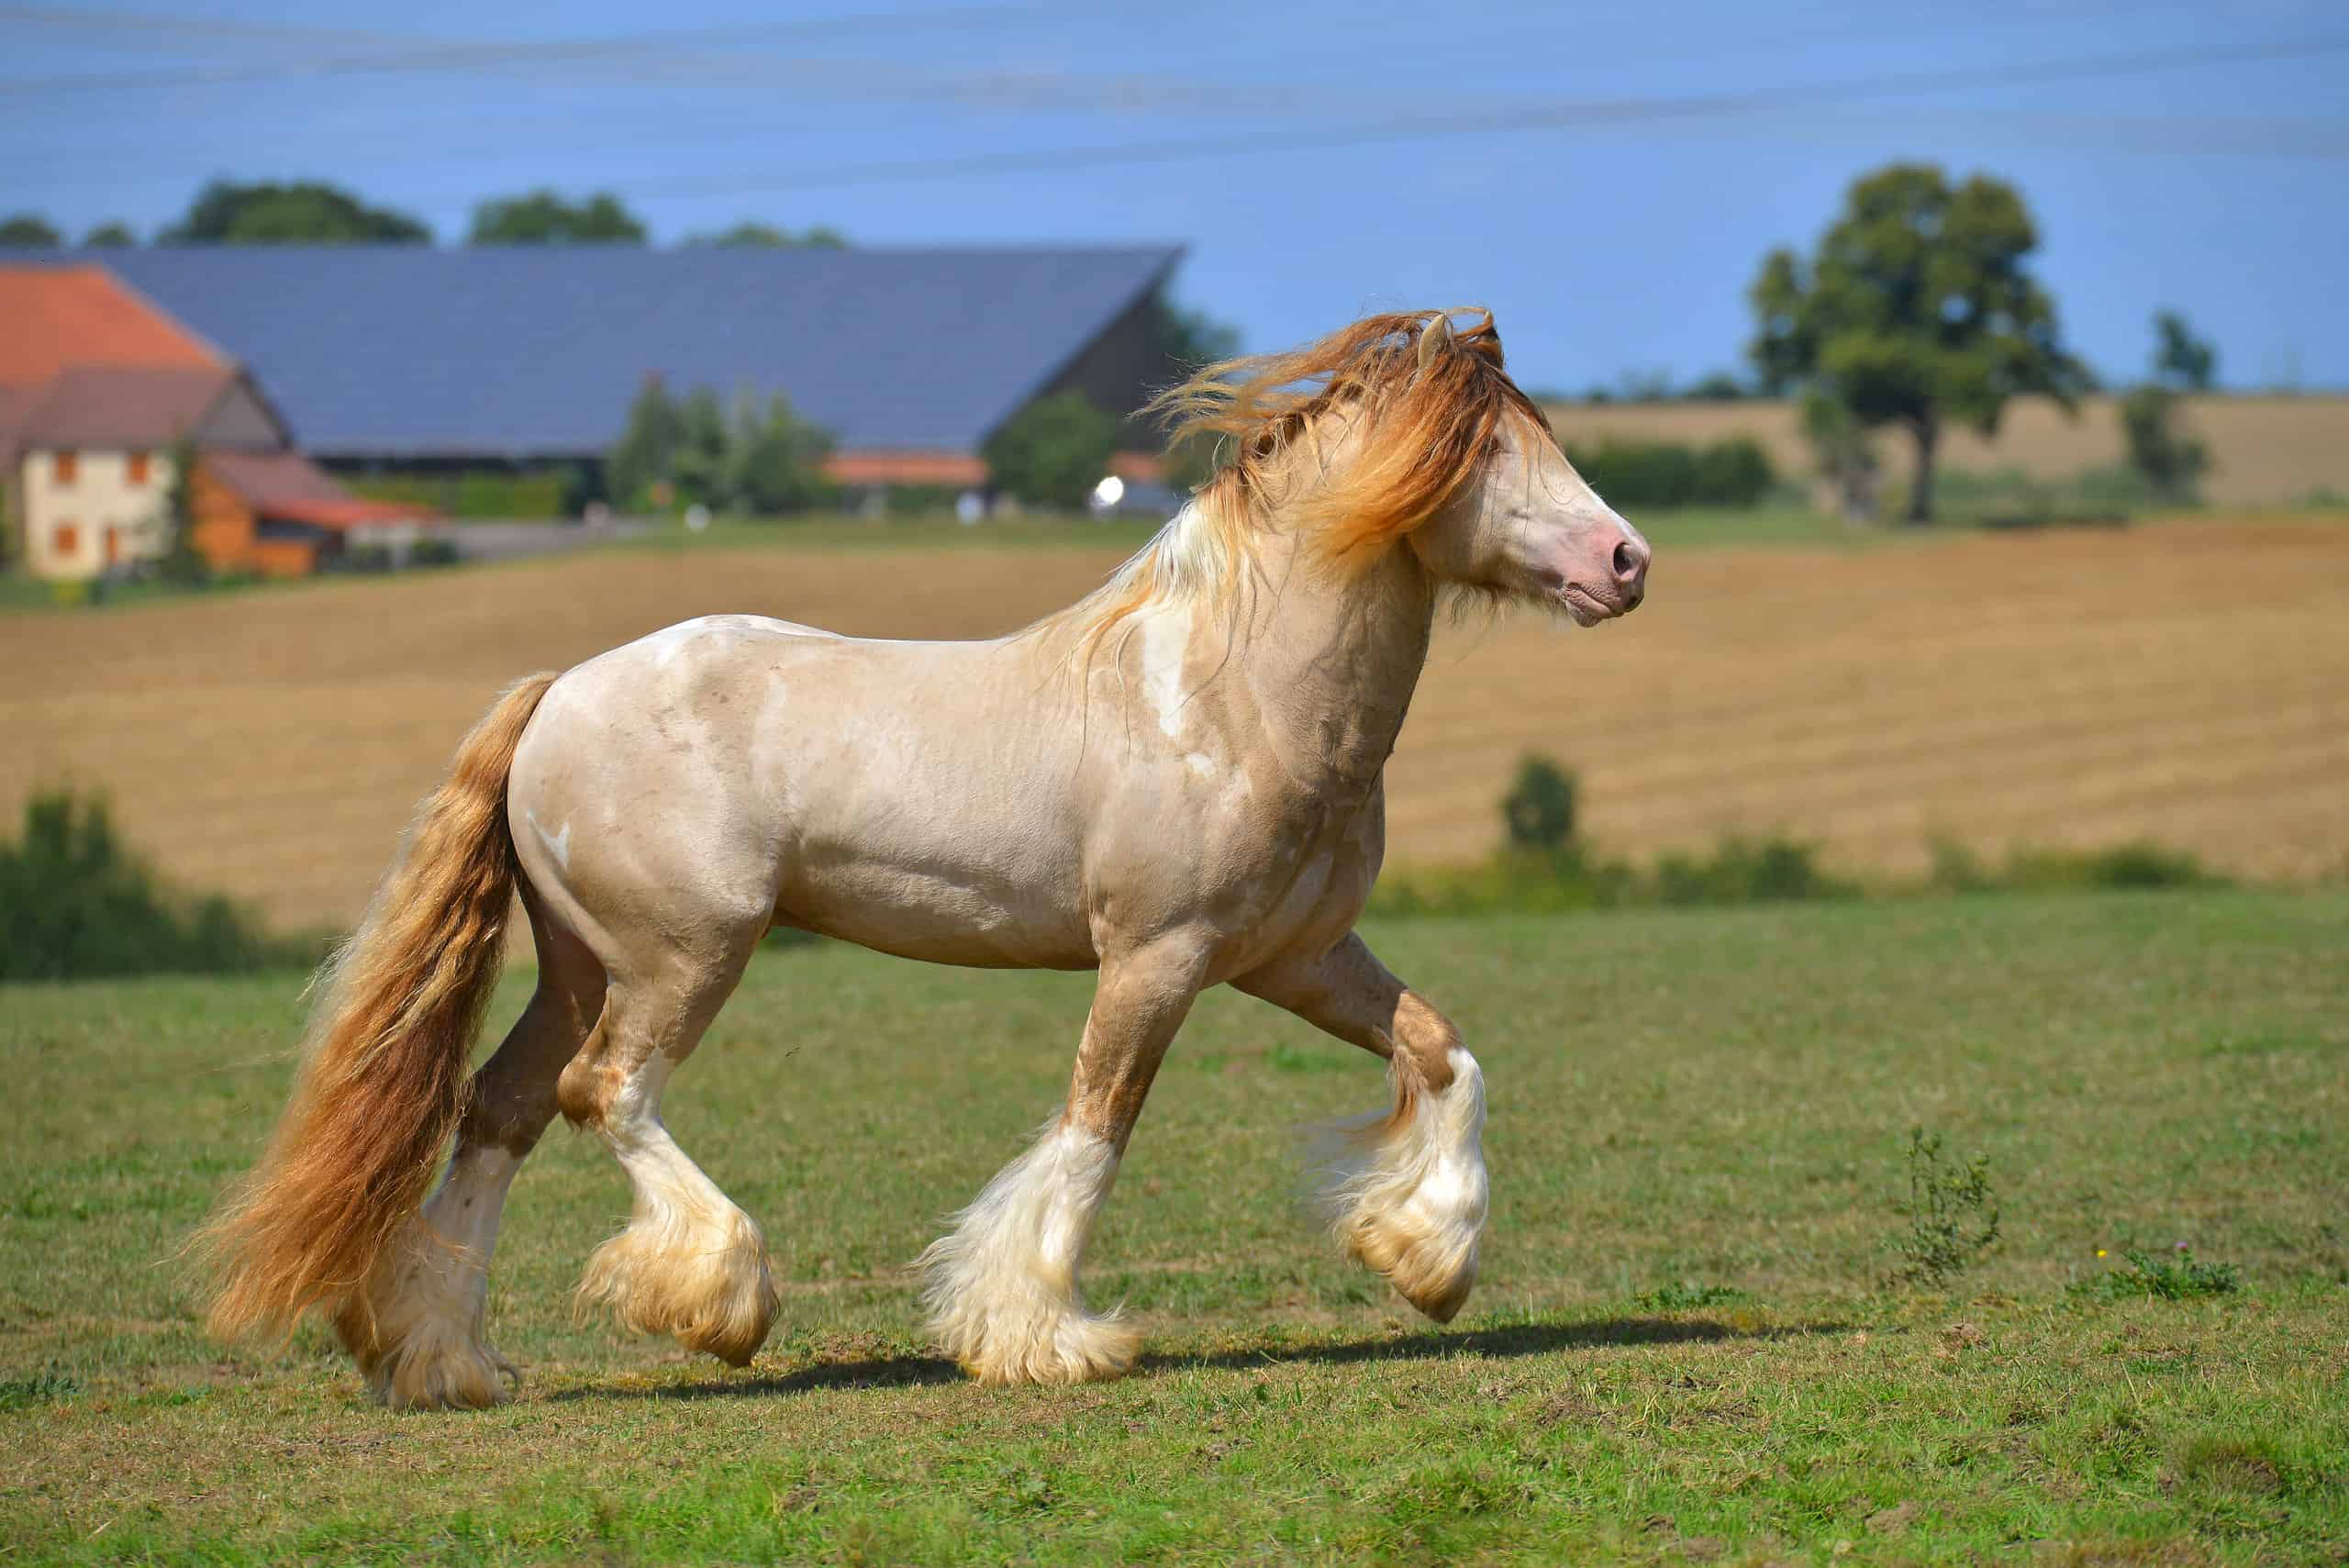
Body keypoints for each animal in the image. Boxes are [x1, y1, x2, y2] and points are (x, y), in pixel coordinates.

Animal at [197, 308, 1651, 1410]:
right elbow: (1094, 1128)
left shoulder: (1294, 955)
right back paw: (722, 1299)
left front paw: (1426, 1258)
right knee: (601, 1092)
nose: (1627, 560)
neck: (1225, 697)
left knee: (498, 1110)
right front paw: (1040, 1336)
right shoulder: (1158, 957)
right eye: (1481, 449)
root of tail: (558, 693)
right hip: (683, 954)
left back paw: (445, 1360)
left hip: (577, 962)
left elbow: (1444, 1054)